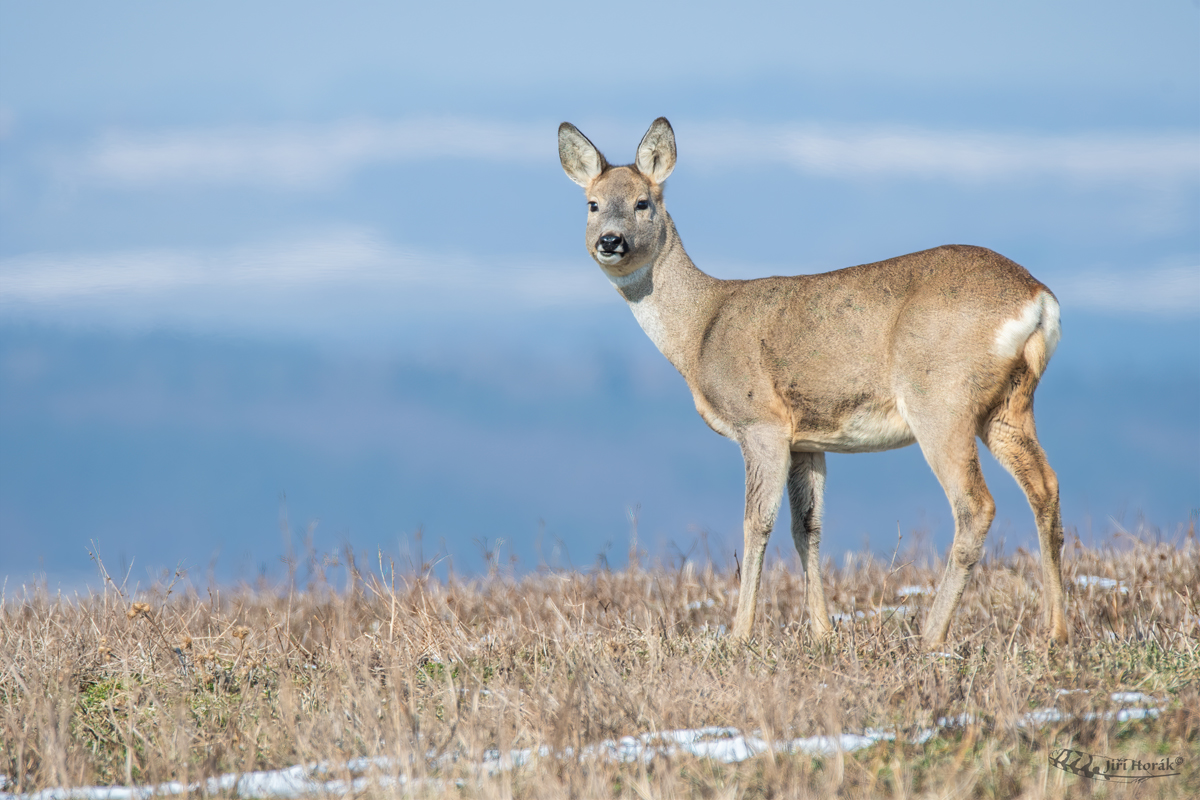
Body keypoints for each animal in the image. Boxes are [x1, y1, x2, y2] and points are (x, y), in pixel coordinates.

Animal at [554, 117, 1070, 652]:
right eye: (592, 204)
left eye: (643, 202)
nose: (610, 241)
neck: (701, 331)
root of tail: (1038, 298)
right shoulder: (809, 439)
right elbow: (808, 526)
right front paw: (822, 631)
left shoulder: (761, 422)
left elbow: (756, 522)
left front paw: (739, 635)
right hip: (1008, 406)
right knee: (1045, 487)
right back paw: (1055, 631)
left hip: (941, 399)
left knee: (975, 505)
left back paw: (930, 636)